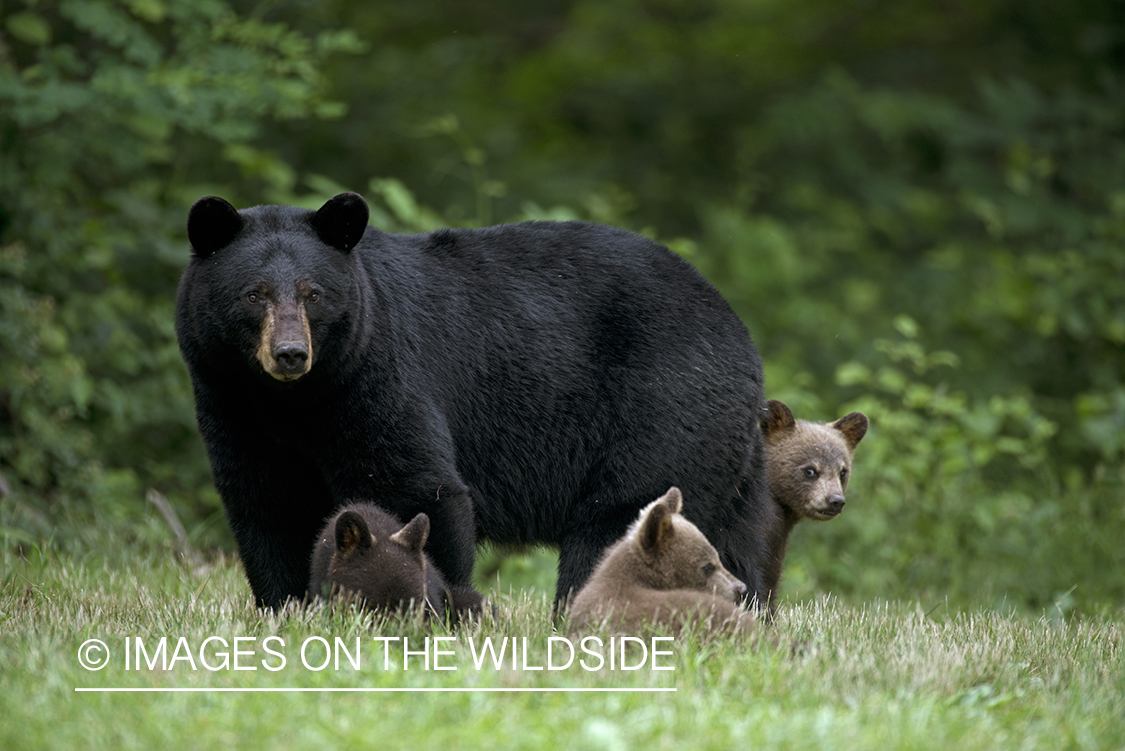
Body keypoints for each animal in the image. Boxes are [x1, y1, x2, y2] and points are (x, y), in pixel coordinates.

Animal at [177, 193, 774, 611]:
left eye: (313, 293)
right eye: (253, 294)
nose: (290, 353)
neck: (296, 401)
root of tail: (734, 322)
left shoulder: (379, 378)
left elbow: (416, 488)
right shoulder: (233, 406)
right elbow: (268, 504)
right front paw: (287, 612)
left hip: (663, 405)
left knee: (622, 516)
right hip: (727, 448)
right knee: (740, 537)